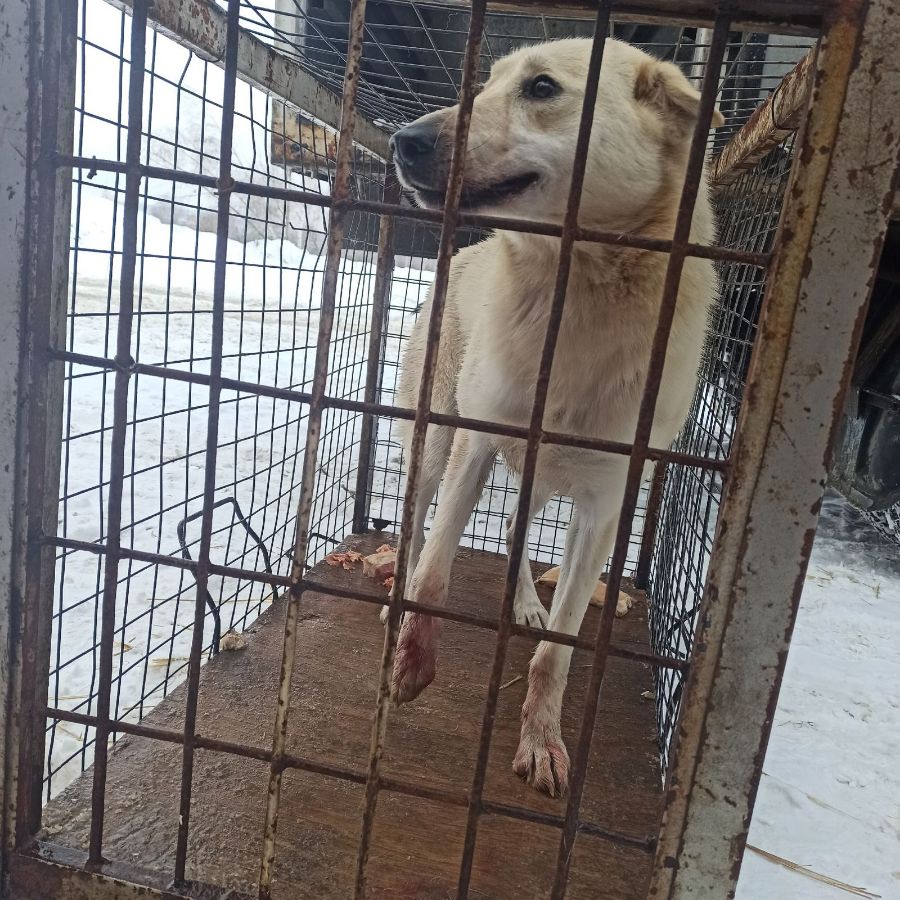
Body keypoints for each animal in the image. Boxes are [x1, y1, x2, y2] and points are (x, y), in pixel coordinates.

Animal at [385, 37, 723, 797]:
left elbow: (556, 652)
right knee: (415, 529)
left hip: (541, 480)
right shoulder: (478, 446)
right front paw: (414, 661)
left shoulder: (603, 506)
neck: (578, 292)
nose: (403, 140)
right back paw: (396, 597)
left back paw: (524, 604)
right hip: (434, 444)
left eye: (541, 88)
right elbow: (435, 572)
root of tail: (468, 249)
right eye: (485, 84)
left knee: (515, 531)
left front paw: (541, 738)